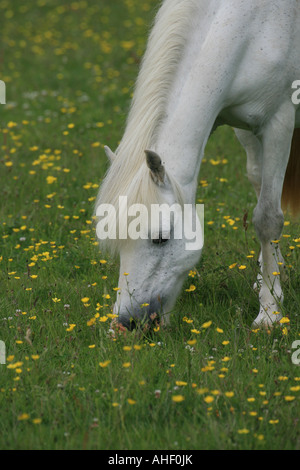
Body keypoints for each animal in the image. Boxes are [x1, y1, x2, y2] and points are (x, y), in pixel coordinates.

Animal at [96, 0, 300, 328]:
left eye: (160, 238)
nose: (126, 323)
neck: (256, 23)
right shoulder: (245, 126)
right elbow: (261, 190)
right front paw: (269, 279)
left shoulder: (278, 123)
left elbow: (268, 218)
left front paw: (269, 312)